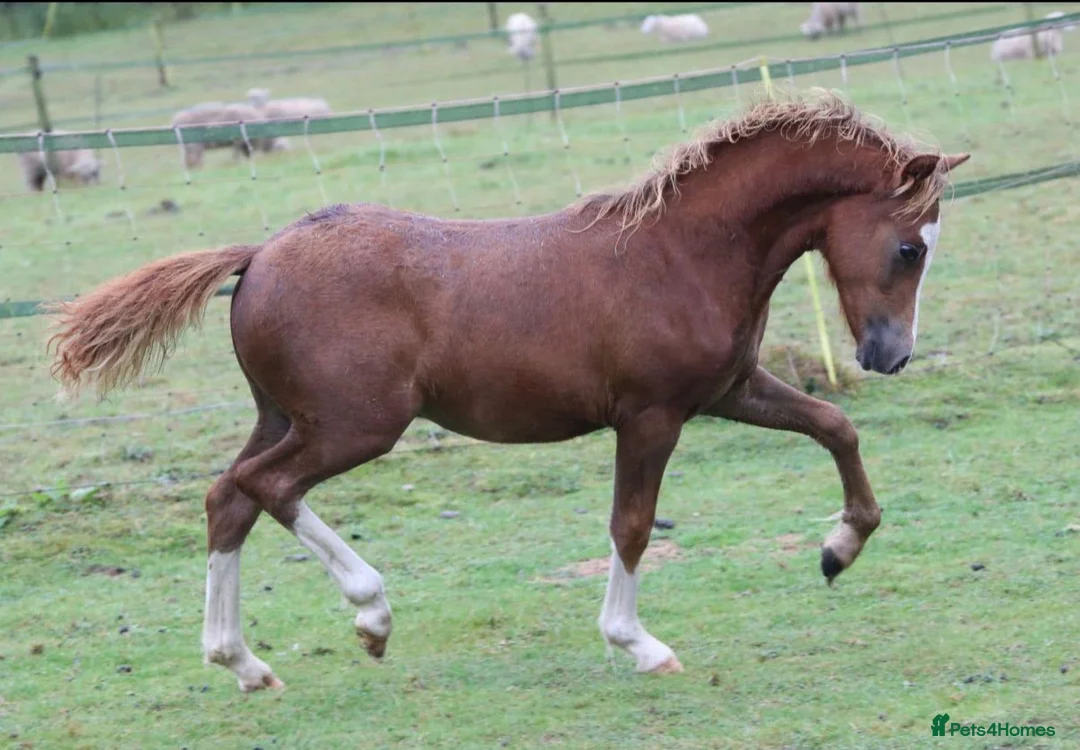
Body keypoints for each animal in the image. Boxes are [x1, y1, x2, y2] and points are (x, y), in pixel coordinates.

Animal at [45, 91, 970, 693]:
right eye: (909, 248)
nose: (891, 355)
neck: (683, 250)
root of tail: (259, 255)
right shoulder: (651, 416)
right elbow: (632, 526)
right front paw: (636, 643)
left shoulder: (729, 389)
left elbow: (835, 425)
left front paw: (839, 548)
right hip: (355, 425)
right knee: (265, 488)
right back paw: (370, 612)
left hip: (284, 416)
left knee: (226, 498)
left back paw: (243, 663)